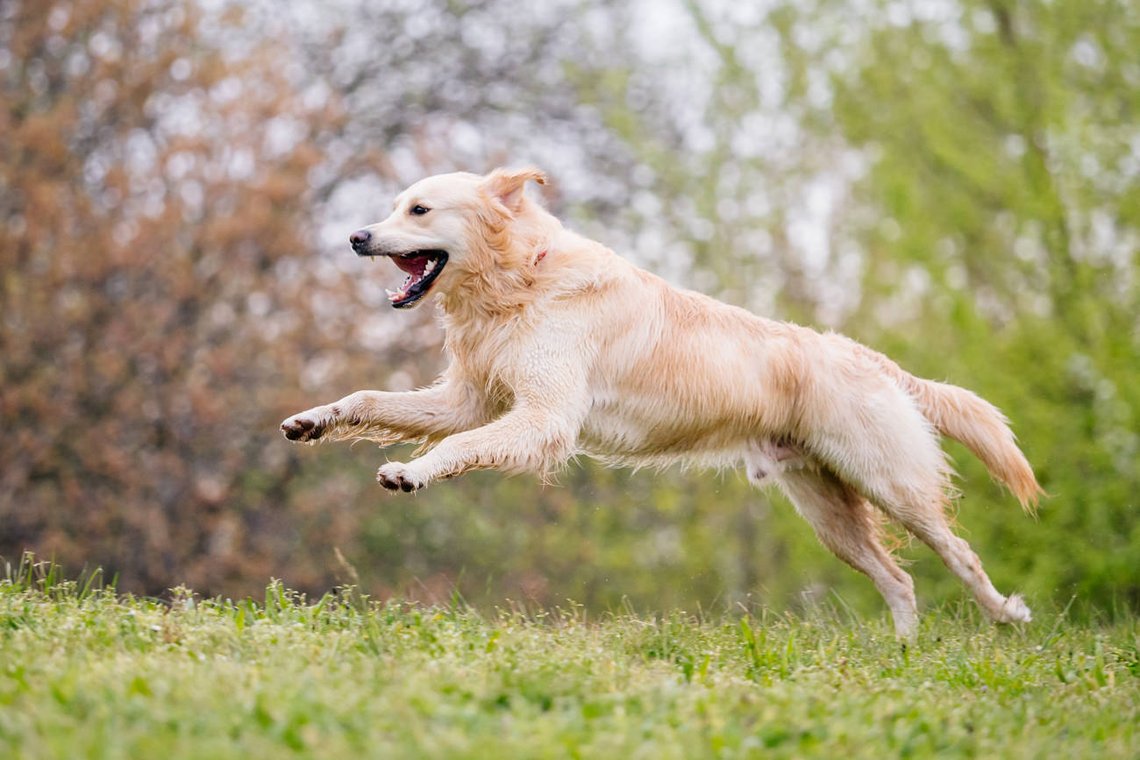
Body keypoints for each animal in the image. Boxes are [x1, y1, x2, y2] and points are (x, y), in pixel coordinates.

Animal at [278, 166, 1044, 638]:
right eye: (393, 205)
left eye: (419, 209)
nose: (356, 236)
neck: (521, 281)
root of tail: (870, 358)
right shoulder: (469, 397)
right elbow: (373, 398)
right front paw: (314, 420)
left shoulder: (544, 418)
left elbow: (458, 446)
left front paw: (410, 473)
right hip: (829, 513)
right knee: (900, 581)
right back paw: (901, 652)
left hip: (893, 485)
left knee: (958, 555)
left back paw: (1007, 616)